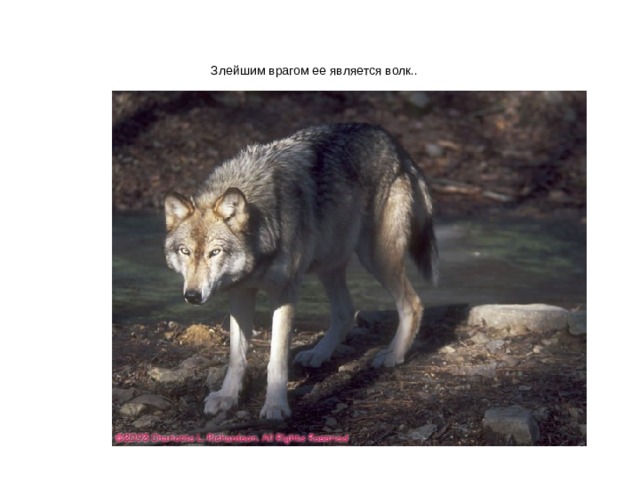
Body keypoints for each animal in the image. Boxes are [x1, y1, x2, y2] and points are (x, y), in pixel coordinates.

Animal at [164, 123, 438, 420]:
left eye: (214, 252)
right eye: (185, 252)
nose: (192, 295)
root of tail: (393, 142)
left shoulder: (284, 292)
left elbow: (276, 360)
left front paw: (275, 406)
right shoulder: (241, 292)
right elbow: (237, 356)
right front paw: (227, 397)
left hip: (375, 256)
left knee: (413, 303)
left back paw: (393, 355)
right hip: (329, 263)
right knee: (345, 311)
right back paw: (319, 353)